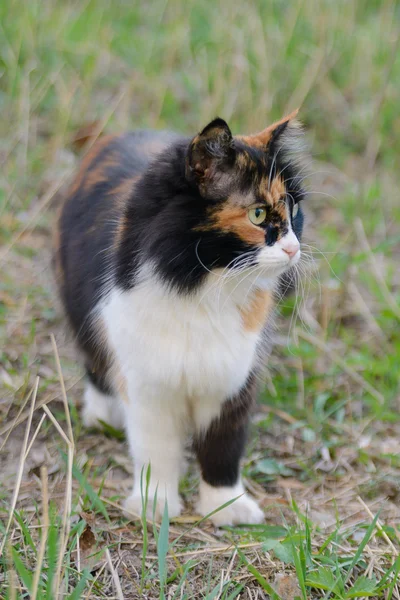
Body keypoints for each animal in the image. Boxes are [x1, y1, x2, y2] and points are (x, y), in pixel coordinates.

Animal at [54, 111, 304, 524]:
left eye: (292, 209)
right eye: (258, 214)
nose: (293, 248)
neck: (204, 288)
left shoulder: (232, 383)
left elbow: (223, 449)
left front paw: (226, 507)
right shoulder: (147, 385)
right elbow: (156, 452)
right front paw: (155, 506)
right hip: (80, 311)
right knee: (94, 362)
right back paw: (104, 413)